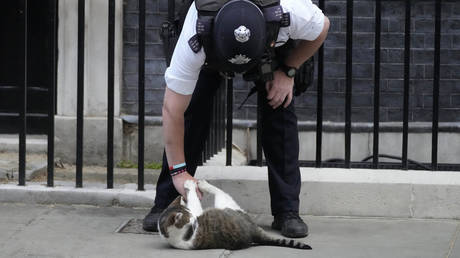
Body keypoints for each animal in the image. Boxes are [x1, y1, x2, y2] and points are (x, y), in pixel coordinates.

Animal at [156, 179, 310, 250]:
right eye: (191, 220)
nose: (195, 220)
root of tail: (253, 233)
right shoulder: (196, 212)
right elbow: (194, 200)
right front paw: (189, 185)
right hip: (227, 205)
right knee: (220, 192)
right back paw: (203, 184)